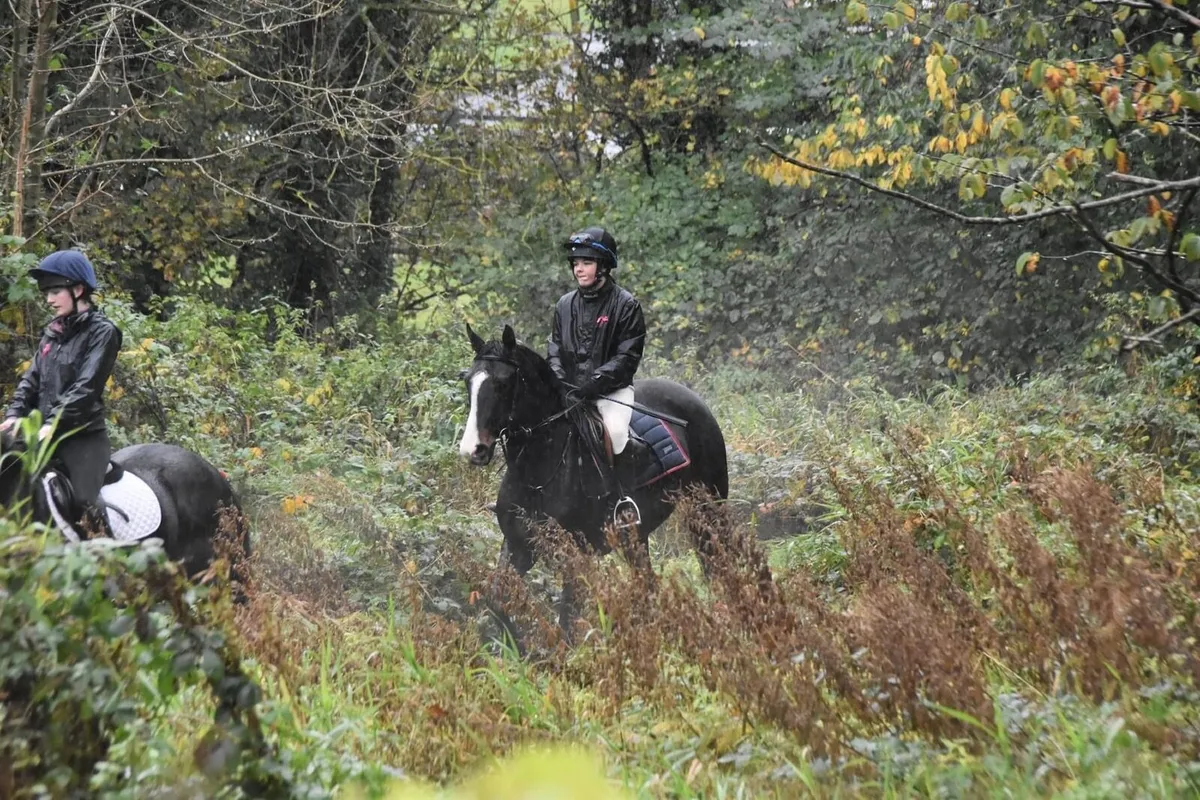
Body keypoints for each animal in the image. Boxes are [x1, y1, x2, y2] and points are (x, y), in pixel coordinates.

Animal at [458, 324, 729, 642]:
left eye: (502, 384)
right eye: (469, 382)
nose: (473, 450)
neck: (537, 474)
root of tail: (694, 399)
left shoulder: (575, 555)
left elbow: (567, 621)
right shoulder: (517, 545)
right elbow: (497, 602)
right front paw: (520, 647)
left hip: (707, 513)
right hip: (637, 536)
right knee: (648, 585)